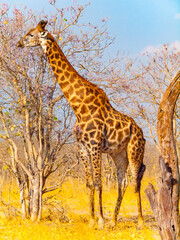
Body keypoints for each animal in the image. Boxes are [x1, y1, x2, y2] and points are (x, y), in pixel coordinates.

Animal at [17, 20, 146, 229]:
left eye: (31, 34)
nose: (19, 43)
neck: (79, 106)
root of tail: (141, 132)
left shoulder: (95, 145)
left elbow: (99, 182)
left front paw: (100, 222)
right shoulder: (82, 147)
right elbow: (89, 183)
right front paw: (93, 221)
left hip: (134, 149)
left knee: (136, 179)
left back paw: (140, 223)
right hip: (118, 153)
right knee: (123, 181)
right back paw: (114, 221)